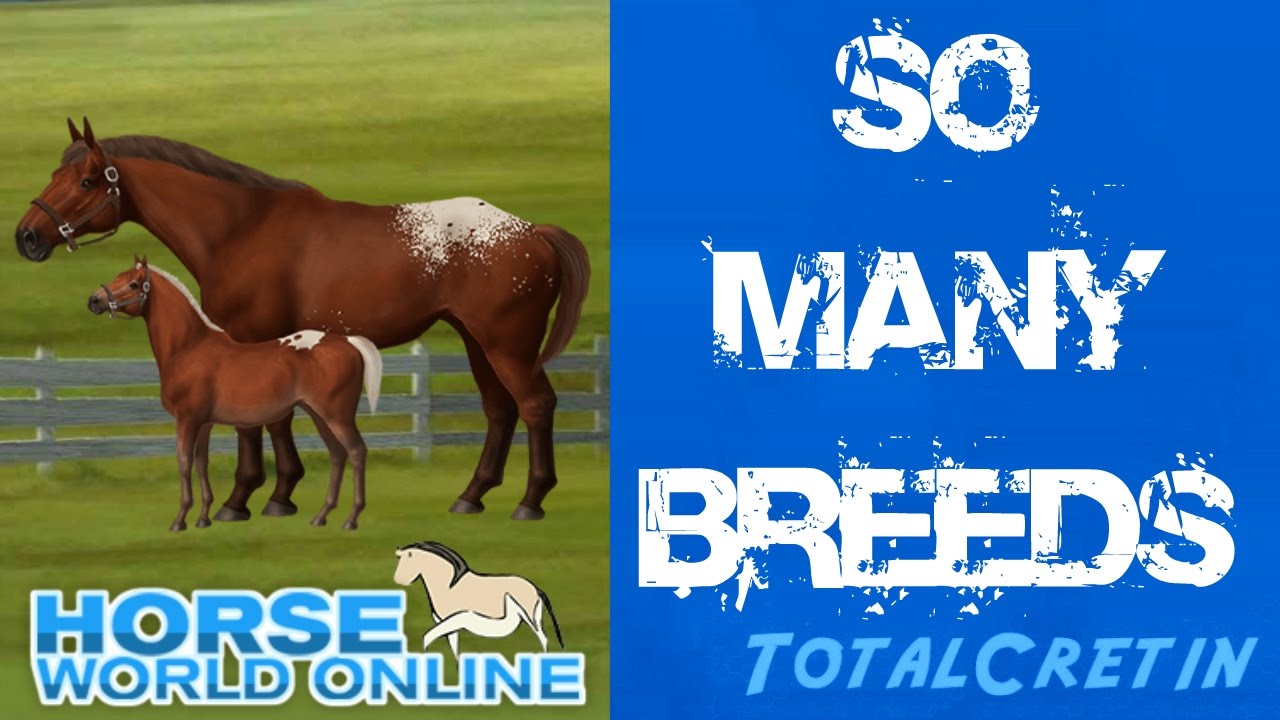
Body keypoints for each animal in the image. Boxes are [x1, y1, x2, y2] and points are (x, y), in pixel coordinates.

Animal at [90, 257, 383, 532]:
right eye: (118, 277)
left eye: (133, 284)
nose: (94, 301)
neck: (189, 347)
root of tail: (348, 341)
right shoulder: (204, 423)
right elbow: (201, 462)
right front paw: (204, 517)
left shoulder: (187, 419)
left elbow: (184, 462)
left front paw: (180, 520)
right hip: (319, 415)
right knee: (338, 455)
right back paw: (321, 516)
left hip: (337, 416)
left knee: (357, 452)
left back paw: (351, 519)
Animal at [393, 541, 563, 656]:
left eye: (409, 558)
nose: (398, 580)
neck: (449, 587)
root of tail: (535, 588)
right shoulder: (448, 625)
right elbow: (453, 649)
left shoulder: (454, 620)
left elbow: (428, 637)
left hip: (530, 618)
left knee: (543, 639)